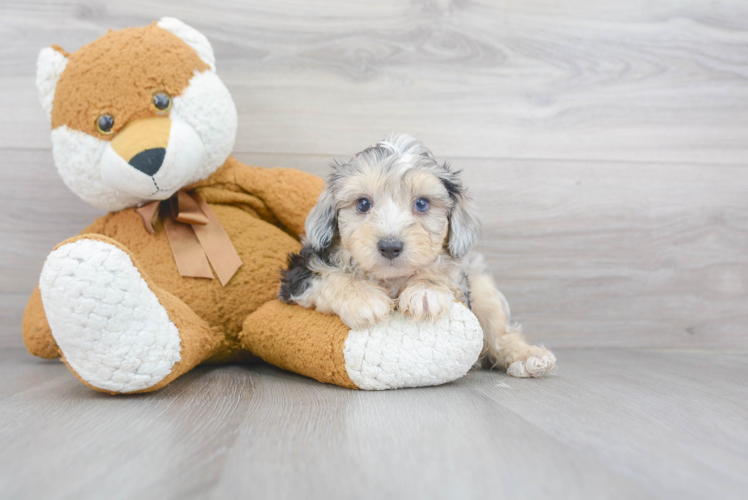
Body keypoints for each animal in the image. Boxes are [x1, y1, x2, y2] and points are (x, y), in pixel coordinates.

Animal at [280, 135, 556, 376]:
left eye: (422, 204)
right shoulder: (298, 273)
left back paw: (529, 356)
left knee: (500, 334)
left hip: (484, 289)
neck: (390, 279)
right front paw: (364, 299)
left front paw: (425, 291)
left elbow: (441, 269)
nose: (390, 246)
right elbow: (329, 277)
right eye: (363, 204)